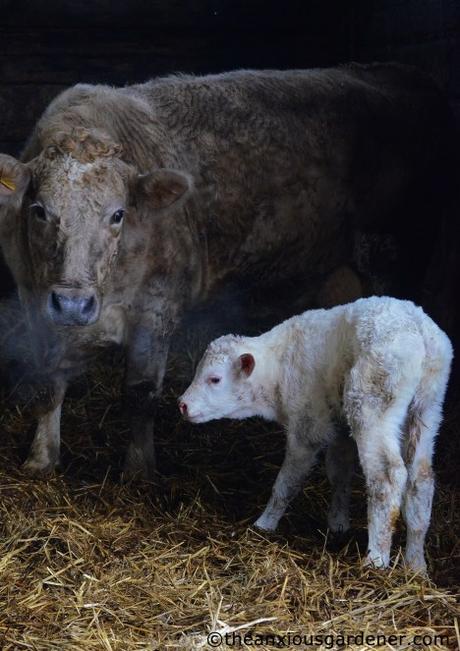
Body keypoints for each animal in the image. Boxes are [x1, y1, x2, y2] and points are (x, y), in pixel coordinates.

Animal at [0, 64, 452, 480]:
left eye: (117, 214)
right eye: (39, 211)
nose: (74, 303)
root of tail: (403, 72)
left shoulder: (158, 307)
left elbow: (140, 394)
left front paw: (139, 473)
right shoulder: (34, 300)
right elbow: (48, 384)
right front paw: (41, 457)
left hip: (399, 256)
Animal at [178, 296, 453, 572]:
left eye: (215, 379)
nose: (182, 404)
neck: (278, 368)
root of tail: (420, 330)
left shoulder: (307, 427)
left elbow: (286, 484)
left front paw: (264, 524)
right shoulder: (339, 428)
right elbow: (340, 473)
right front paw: (338, 523)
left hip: (371, 402)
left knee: (387, 476)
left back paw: (376, 559)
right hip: (428, 407)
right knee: (421, 478)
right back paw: (416, 564)